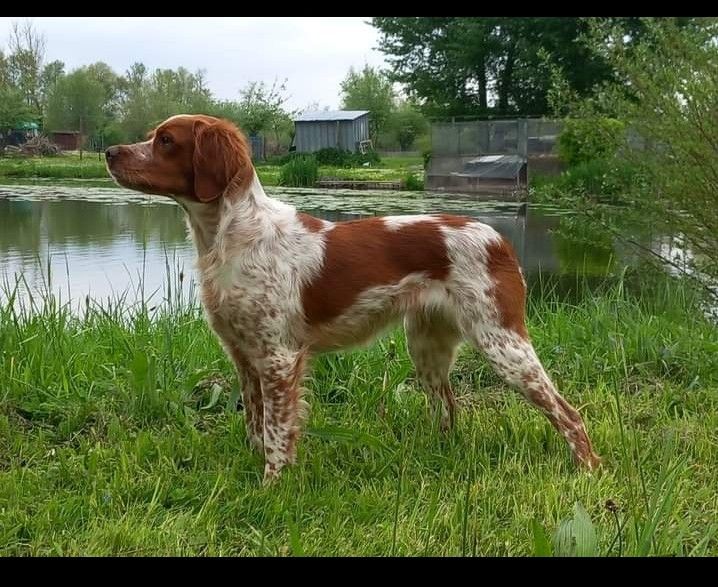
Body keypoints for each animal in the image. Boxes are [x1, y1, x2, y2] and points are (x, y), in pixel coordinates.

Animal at [107, 113, 600, 482]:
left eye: (166, 140)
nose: (109, 152)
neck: (230, 237)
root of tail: (498, 236)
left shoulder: (279, 358)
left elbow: (277, 434)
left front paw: (271, 488)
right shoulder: (244, 357)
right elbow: (255, 426)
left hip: (502, 343)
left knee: (568, 413)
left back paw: (589, 470)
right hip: (427, 347)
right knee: (449, 408)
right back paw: (439, 455)